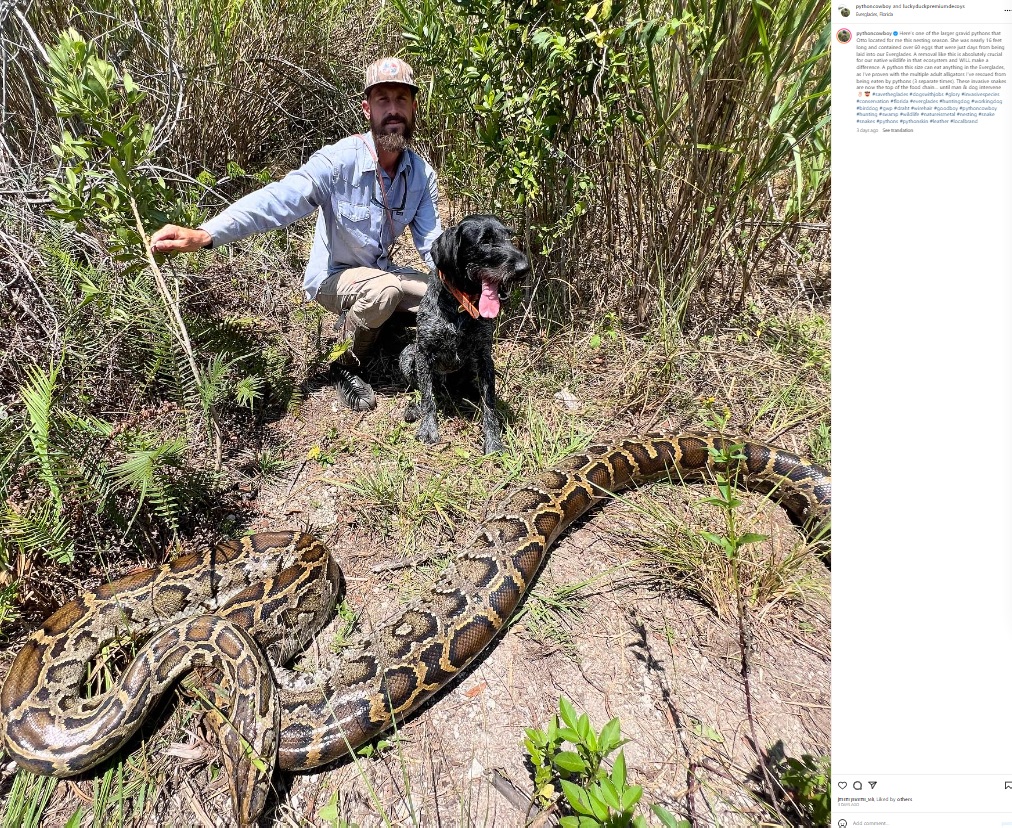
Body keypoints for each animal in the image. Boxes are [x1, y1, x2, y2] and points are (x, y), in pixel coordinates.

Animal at [398, 214, 534, 451]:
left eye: (508, 236)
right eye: (485, 240)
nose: (524, 268)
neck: (461, 305)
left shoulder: (484, 358)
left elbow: (489, 403)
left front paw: (493, 440)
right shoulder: (423, 353)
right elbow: (427, 398)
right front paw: (428, 428)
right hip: (408, 355)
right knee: (425, 391)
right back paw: (415, 407)